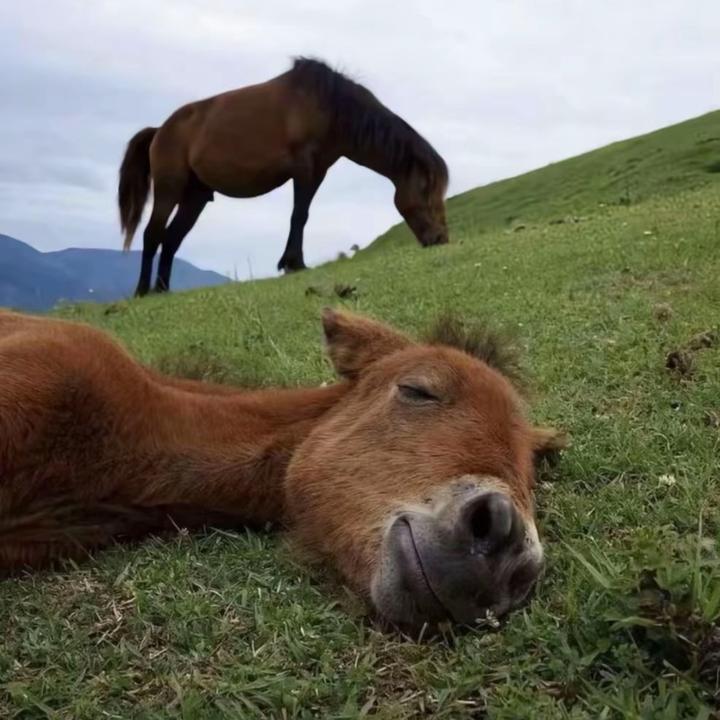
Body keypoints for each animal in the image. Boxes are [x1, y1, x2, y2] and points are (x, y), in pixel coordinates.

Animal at [118, 57, 449, 297]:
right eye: (425, 190)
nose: (441, 239)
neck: (329, 107)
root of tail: (159, 130)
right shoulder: (303, 169)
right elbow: (298, 215)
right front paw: (293, 263)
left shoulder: (317, 173)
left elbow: (302, 215)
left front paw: (293, 261)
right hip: (169, 189)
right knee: (152, 234)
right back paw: (142, 291)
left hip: (195, 197)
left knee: (172, 238)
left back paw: (162, 289)